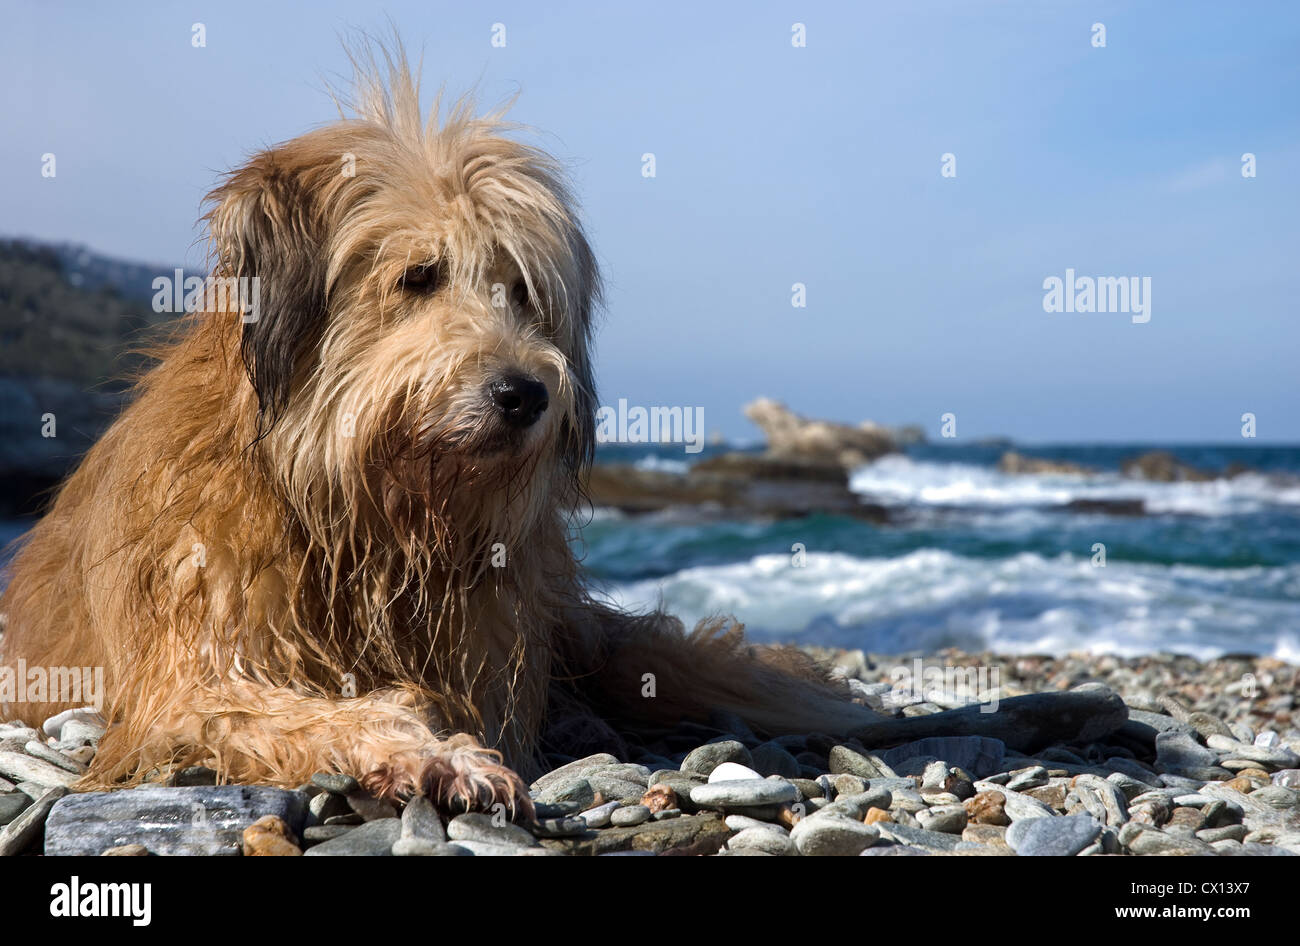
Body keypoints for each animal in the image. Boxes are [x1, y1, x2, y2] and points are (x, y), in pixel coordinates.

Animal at [0, 48, 894, 816]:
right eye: (419, 276)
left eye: (523, 290)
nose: (524, 395)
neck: (363, 521)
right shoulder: (188, 671)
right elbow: (294, 708)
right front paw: (430, 754)